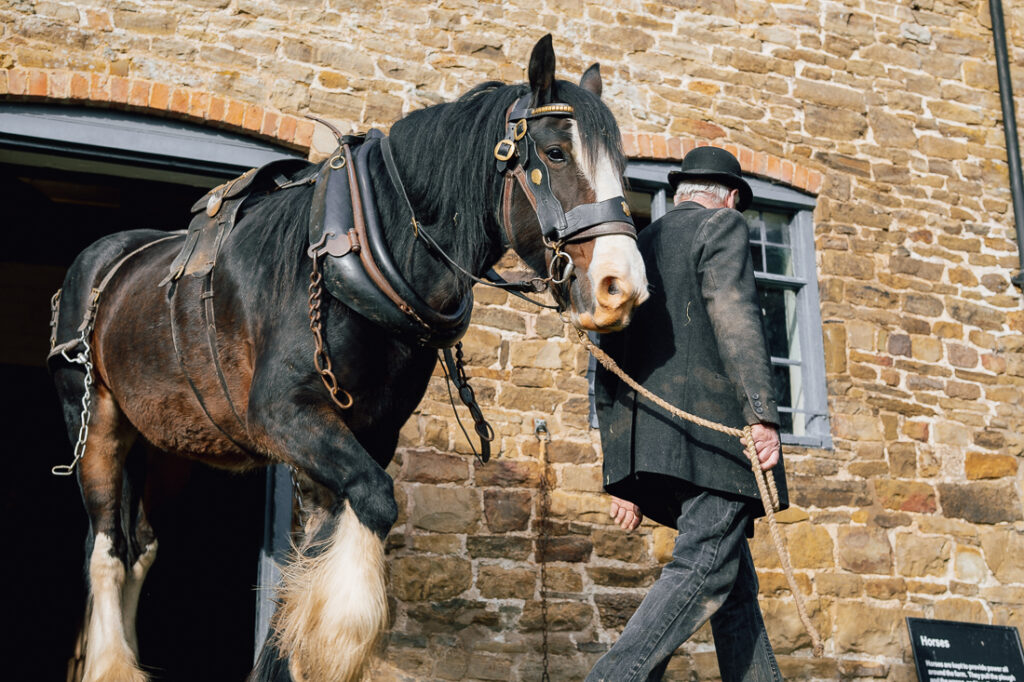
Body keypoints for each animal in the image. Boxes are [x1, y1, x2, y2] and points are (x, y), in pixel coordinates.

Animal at [48, 34, 648, 682]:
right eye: (557, 153)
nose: (622, 287)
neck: (363, 247)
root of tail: (108, 260)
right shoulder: (285, 415)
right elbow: (374, 504)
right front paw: (334, 646)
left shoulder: (366, 435)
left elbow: (315, 552)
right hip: (94, 420)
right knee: (106, 547)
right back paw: (111, 662)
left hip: (158, 435)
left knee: (139, 545)